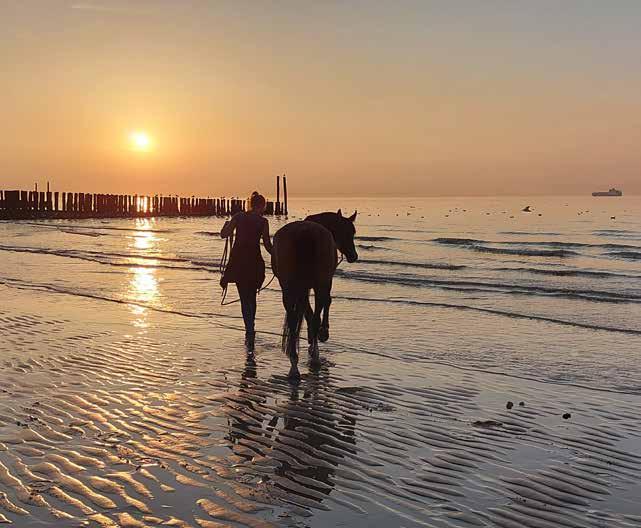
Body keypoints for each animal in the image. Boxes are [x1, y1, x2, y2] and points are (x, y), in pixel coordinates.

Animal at [271, 209, 358, 379]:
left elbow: (306, 311)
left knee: (293, 320)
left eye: (353, 232)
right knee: (316, 314)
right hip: (319, 284)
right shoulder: (325, 283)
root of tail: (305, 232)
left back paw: (294, 365)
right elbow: (326, 302)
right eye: (347, 232)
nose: (353, 256)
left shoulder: (302, 289)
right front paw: (322, 333)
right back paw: (315, 356)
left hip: (288, 288)